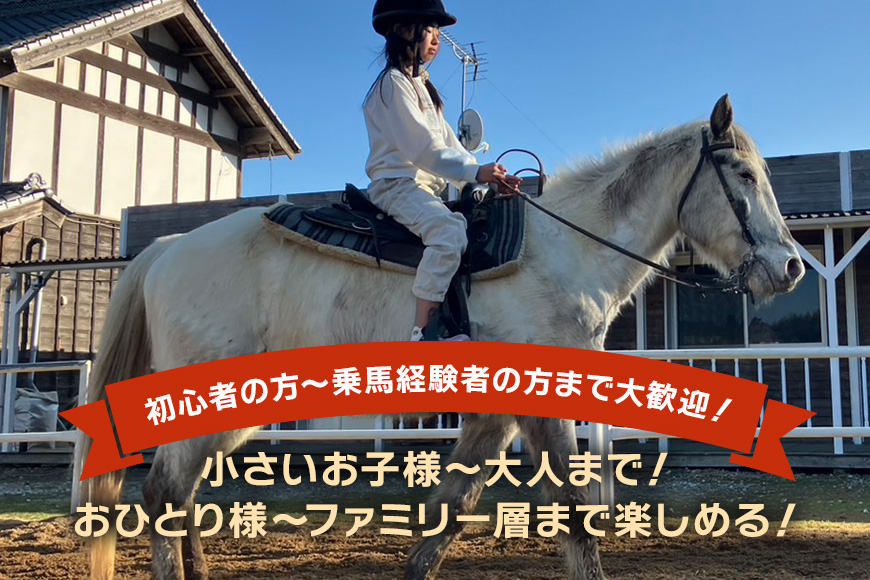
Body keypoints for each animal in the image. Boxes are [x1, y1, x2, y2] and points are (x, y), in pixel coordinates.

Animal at [81, 95, 804, 580]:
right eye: (744, 176)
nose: (792, 267)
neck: (566, 250)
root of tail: (171, 249)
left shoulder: (493, 414)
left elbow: (450, 510)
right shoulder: (539, 406)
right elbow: (572, 515)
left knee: (181, 494)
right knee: (162, 493)